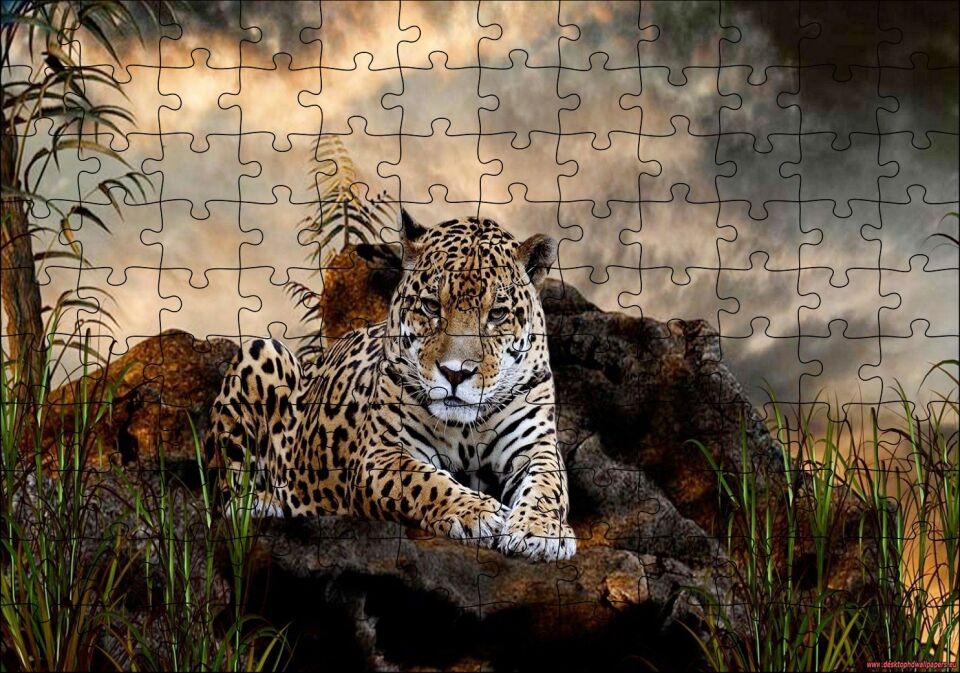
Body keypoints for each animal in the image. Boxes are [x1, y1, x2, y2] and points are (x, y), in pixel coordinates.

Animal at [204, 209, 576, 561]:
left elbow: (547, 486)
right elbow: (426, 481)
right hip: (262, 350)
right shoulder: (380, 453)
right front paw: (478, 511)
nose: (455, 373)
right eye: (431, 306)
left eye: (497, 314)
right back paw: (266, 503)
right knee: (226, 498)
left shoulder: (536, 446)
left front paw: (542, 531)